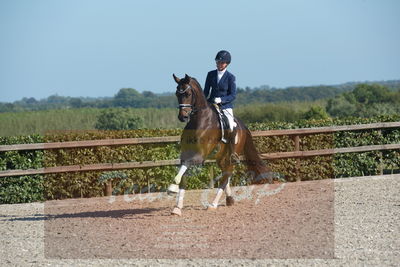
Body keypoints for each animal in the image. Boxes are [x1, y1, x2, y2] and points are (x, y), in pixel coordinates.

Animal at [167, 74, 270, 217]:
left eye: (187, 93)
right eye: (177, 93)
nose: (183, 117)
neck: (199, 121)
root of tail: (242, 125)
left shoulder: (199, 156)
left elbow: (184, 170)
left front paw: (172, 188)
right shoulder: (186, 154)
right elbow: (184, 174)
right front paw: (177, 207)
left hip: (232, 155)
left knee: (227, 174)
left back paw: (213, 204)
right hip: (220, 157)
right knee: (225, 174)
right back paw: (229, 199)